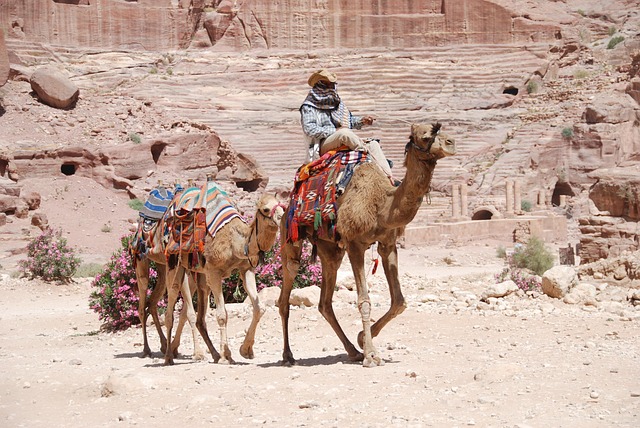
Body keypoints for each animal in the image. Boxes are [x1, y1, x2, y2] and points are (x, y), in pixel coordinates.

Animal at [163, 192, 285, 365]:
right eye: (266, 209)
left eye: (282, 205)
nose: (282, 218)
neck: (237, 243)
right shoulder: (214, 271)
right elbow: (222, 315)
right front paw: (225, 355)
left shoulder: (246, 269)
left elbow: (259, 308)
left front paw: (246, 350)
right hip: (175, 264)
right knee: (172, 302)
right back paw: (170, 356)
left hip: (198, 275)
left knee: (197, 315)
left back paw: (211, 353)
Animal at [278, 122, 456, 367]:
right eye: (425, 135)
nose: (451, 143)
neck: (382, 203)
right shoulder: (354, 244)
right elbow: (364, 300)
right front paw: (371, 354)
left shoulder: (388, 244)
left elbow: (399, 301)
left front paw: (363, 339)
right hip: (289, 236)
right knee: (286, 292)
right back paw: (287, 355)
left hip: (329, 249)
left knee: (325, 302)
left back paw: (352, 351)